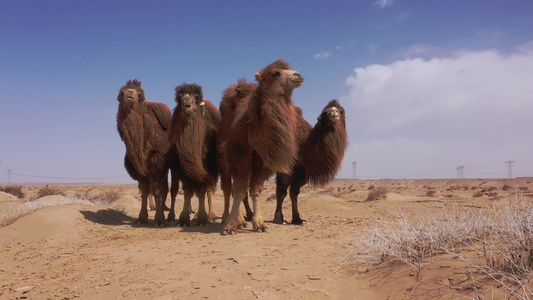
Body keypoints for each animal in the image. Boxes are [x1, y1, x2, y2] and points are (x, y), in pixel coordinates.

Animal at [116, 78, 170, 224]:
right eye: (121, 93)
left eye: (140, 96)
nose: (130, 92)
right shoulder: (137, 166)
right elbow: (144, 190)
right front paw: (142, 217)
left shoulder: (158, 161)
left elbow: (156, 189)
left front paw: (159, 218)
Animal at [170, 83, 220, 226]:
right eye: (179, 97)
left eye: (196, 97)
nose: (187, 104)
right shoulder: (183, 168)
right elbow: (188, 191)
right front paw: (184, 219)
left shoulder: (207, 167)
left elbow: (202, 191)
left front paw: (203, 219)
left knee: (208, 191)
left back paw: (210, 215)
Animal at [219, 59, 304, 234]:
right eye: (275, 73)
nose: (298, 75)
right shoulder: (239, 155)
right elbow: (239, 190)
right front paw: (230, 226)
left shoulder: (262, 161)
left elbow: (255, 190)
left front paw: (259, 224)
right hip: (224, 161)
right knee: (228, 189)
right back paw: (228, 219)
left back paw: (242, 220)